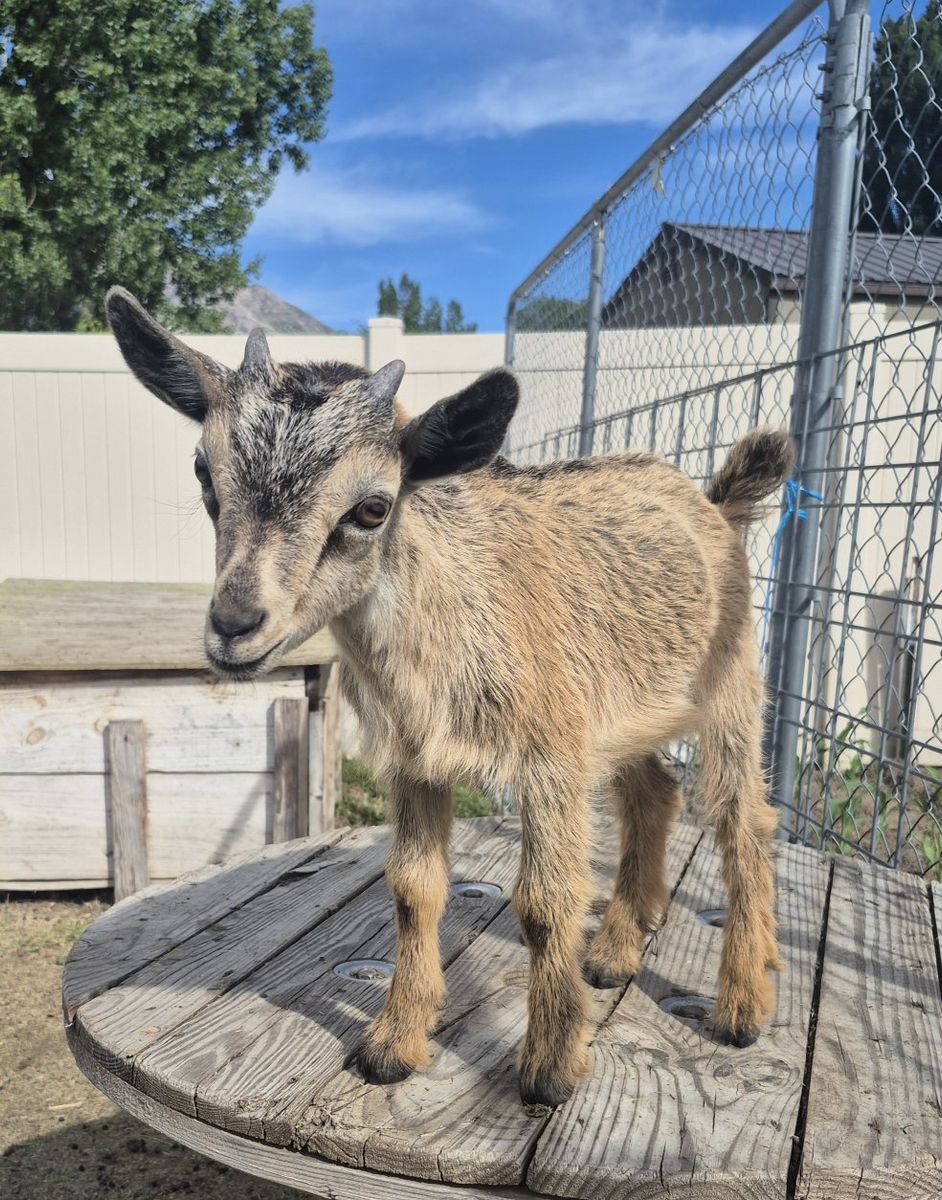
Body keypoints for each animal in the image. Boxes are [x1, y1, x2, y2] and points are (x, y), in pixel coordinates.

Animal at [107, 287, 791, 1107]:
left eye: (372, 508)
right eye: (206, 476)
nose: (236, 626)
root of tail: (712, 505)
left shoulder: (551, 760)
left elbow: (545, 902)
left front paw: (551, 1068)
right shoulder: (416, 761)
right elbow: (413, 888)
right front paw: (393, 1045)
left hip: (730, 688)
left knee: (742, 819)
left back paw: (743, 1003)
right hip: (622, 711)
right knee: (655, 791)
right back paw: (615, 954)